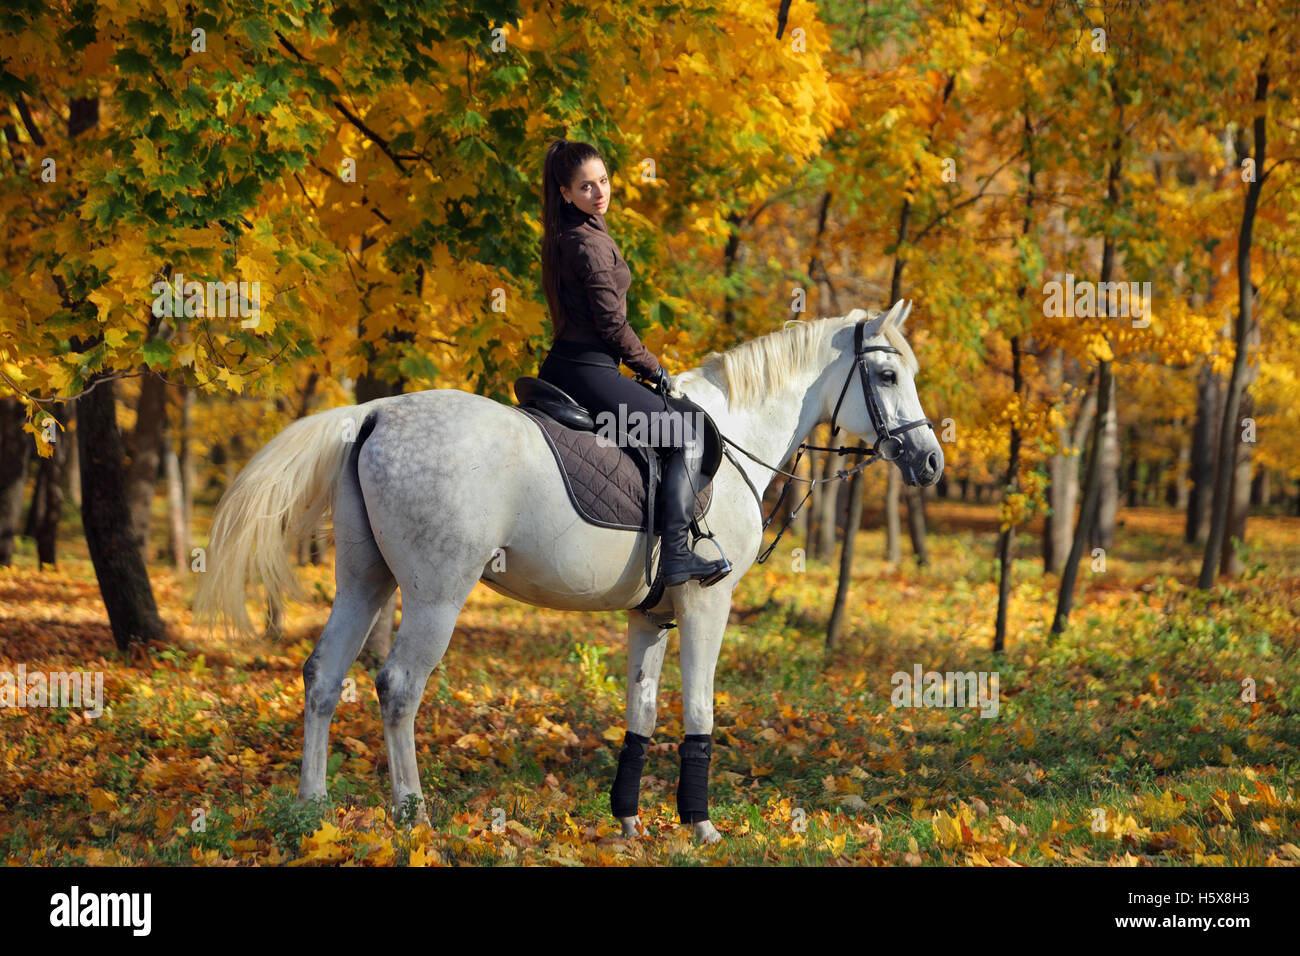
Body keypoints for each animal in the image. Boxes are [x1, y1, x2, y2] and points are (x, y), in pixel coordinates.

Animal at [192, 300, 941, 842]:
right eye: (887, 376)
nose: (930, 461)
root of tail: (373, 413)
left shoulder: (652, 615)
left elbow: (641, 709)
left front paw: (630, 821)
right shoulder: (707, 603)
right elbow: (699, 706)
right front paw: (700, 825)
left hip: (364, 581)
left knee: (322, 677)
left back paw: (311, 808)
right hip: (435, 594)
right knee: (399, 686)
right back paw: (413, 815)